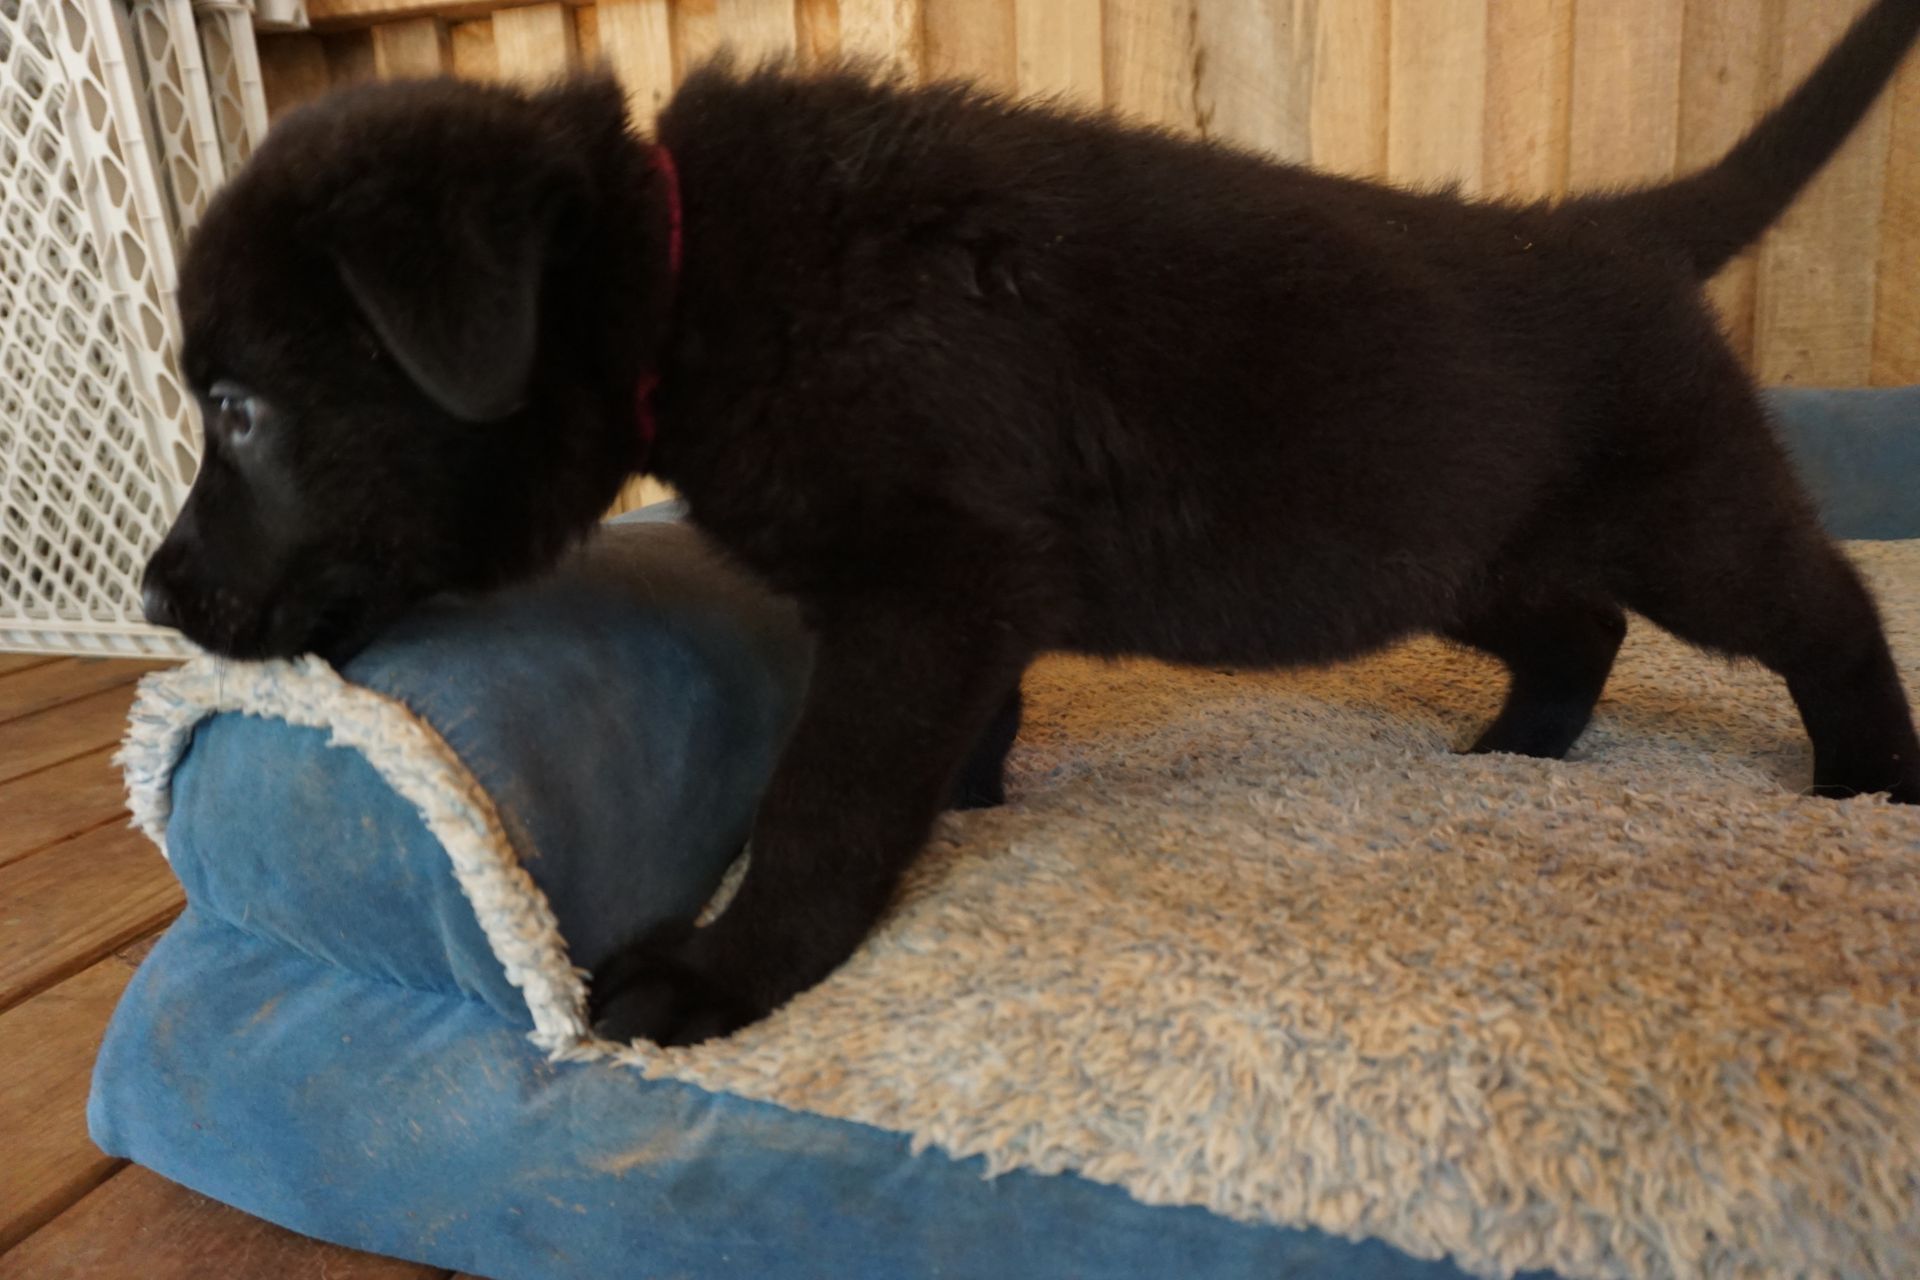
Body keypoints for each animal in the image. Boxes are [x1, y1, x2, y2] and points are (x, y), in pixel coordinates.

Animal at [145, 0, 1920, 1043]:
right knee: (1577, 625)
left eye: (239, 411)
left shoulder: (924, 582)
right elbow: (954, 733)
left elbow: (825, 798)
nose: (156, 602)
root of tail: (1618, 230)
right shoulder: (961, 599)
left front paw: (726, 972)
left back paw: (1872, 776)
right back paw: (1521, 749)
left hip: (1683, 518)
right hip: (1444, 546)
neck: (688, 268)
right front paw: (971, 803)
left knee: (1822, 606)